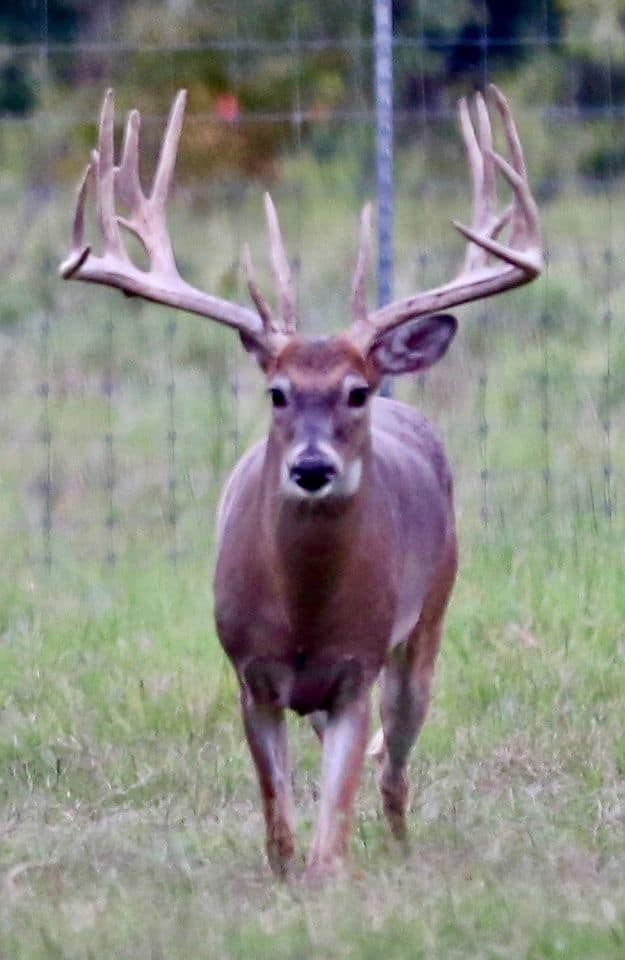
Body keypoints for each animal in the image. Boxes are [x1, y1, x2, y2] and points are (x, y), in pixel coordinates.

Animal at [59, 84, 542, 881]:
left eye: (356, 391)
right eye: (277, 392)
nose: (312, 468)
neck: (305, 614)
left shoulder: (357, 668)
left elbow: (330, 832)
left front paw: (331, 874)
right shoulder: (249, 672)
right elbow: (279, 825)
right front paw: (284, 872)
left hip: (427, 624)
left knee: (395, 765)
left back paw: (402, 845)